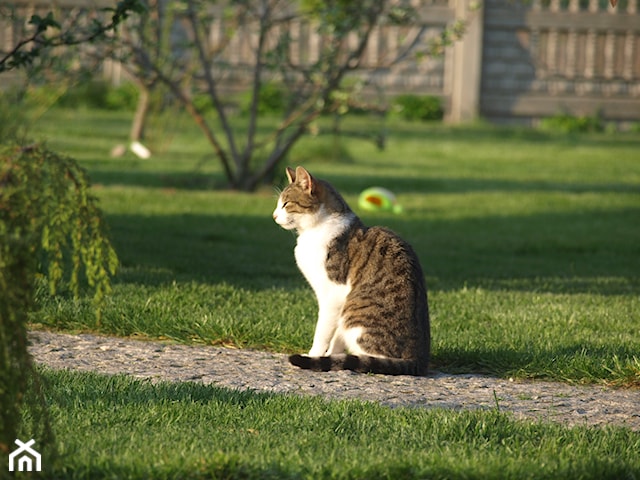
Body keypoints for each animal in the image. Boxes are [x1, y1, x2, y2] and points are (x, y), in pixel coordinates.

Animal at [272, 167, 432, 376]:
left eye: (286, 204)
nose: (274, 216)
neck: (316, 230)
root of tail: (419, 359)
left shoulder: (333, 295)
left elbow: (322, 332)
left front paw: (314, 355)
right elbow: (336, 339)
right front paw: (330, 357)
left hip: (354, 317)